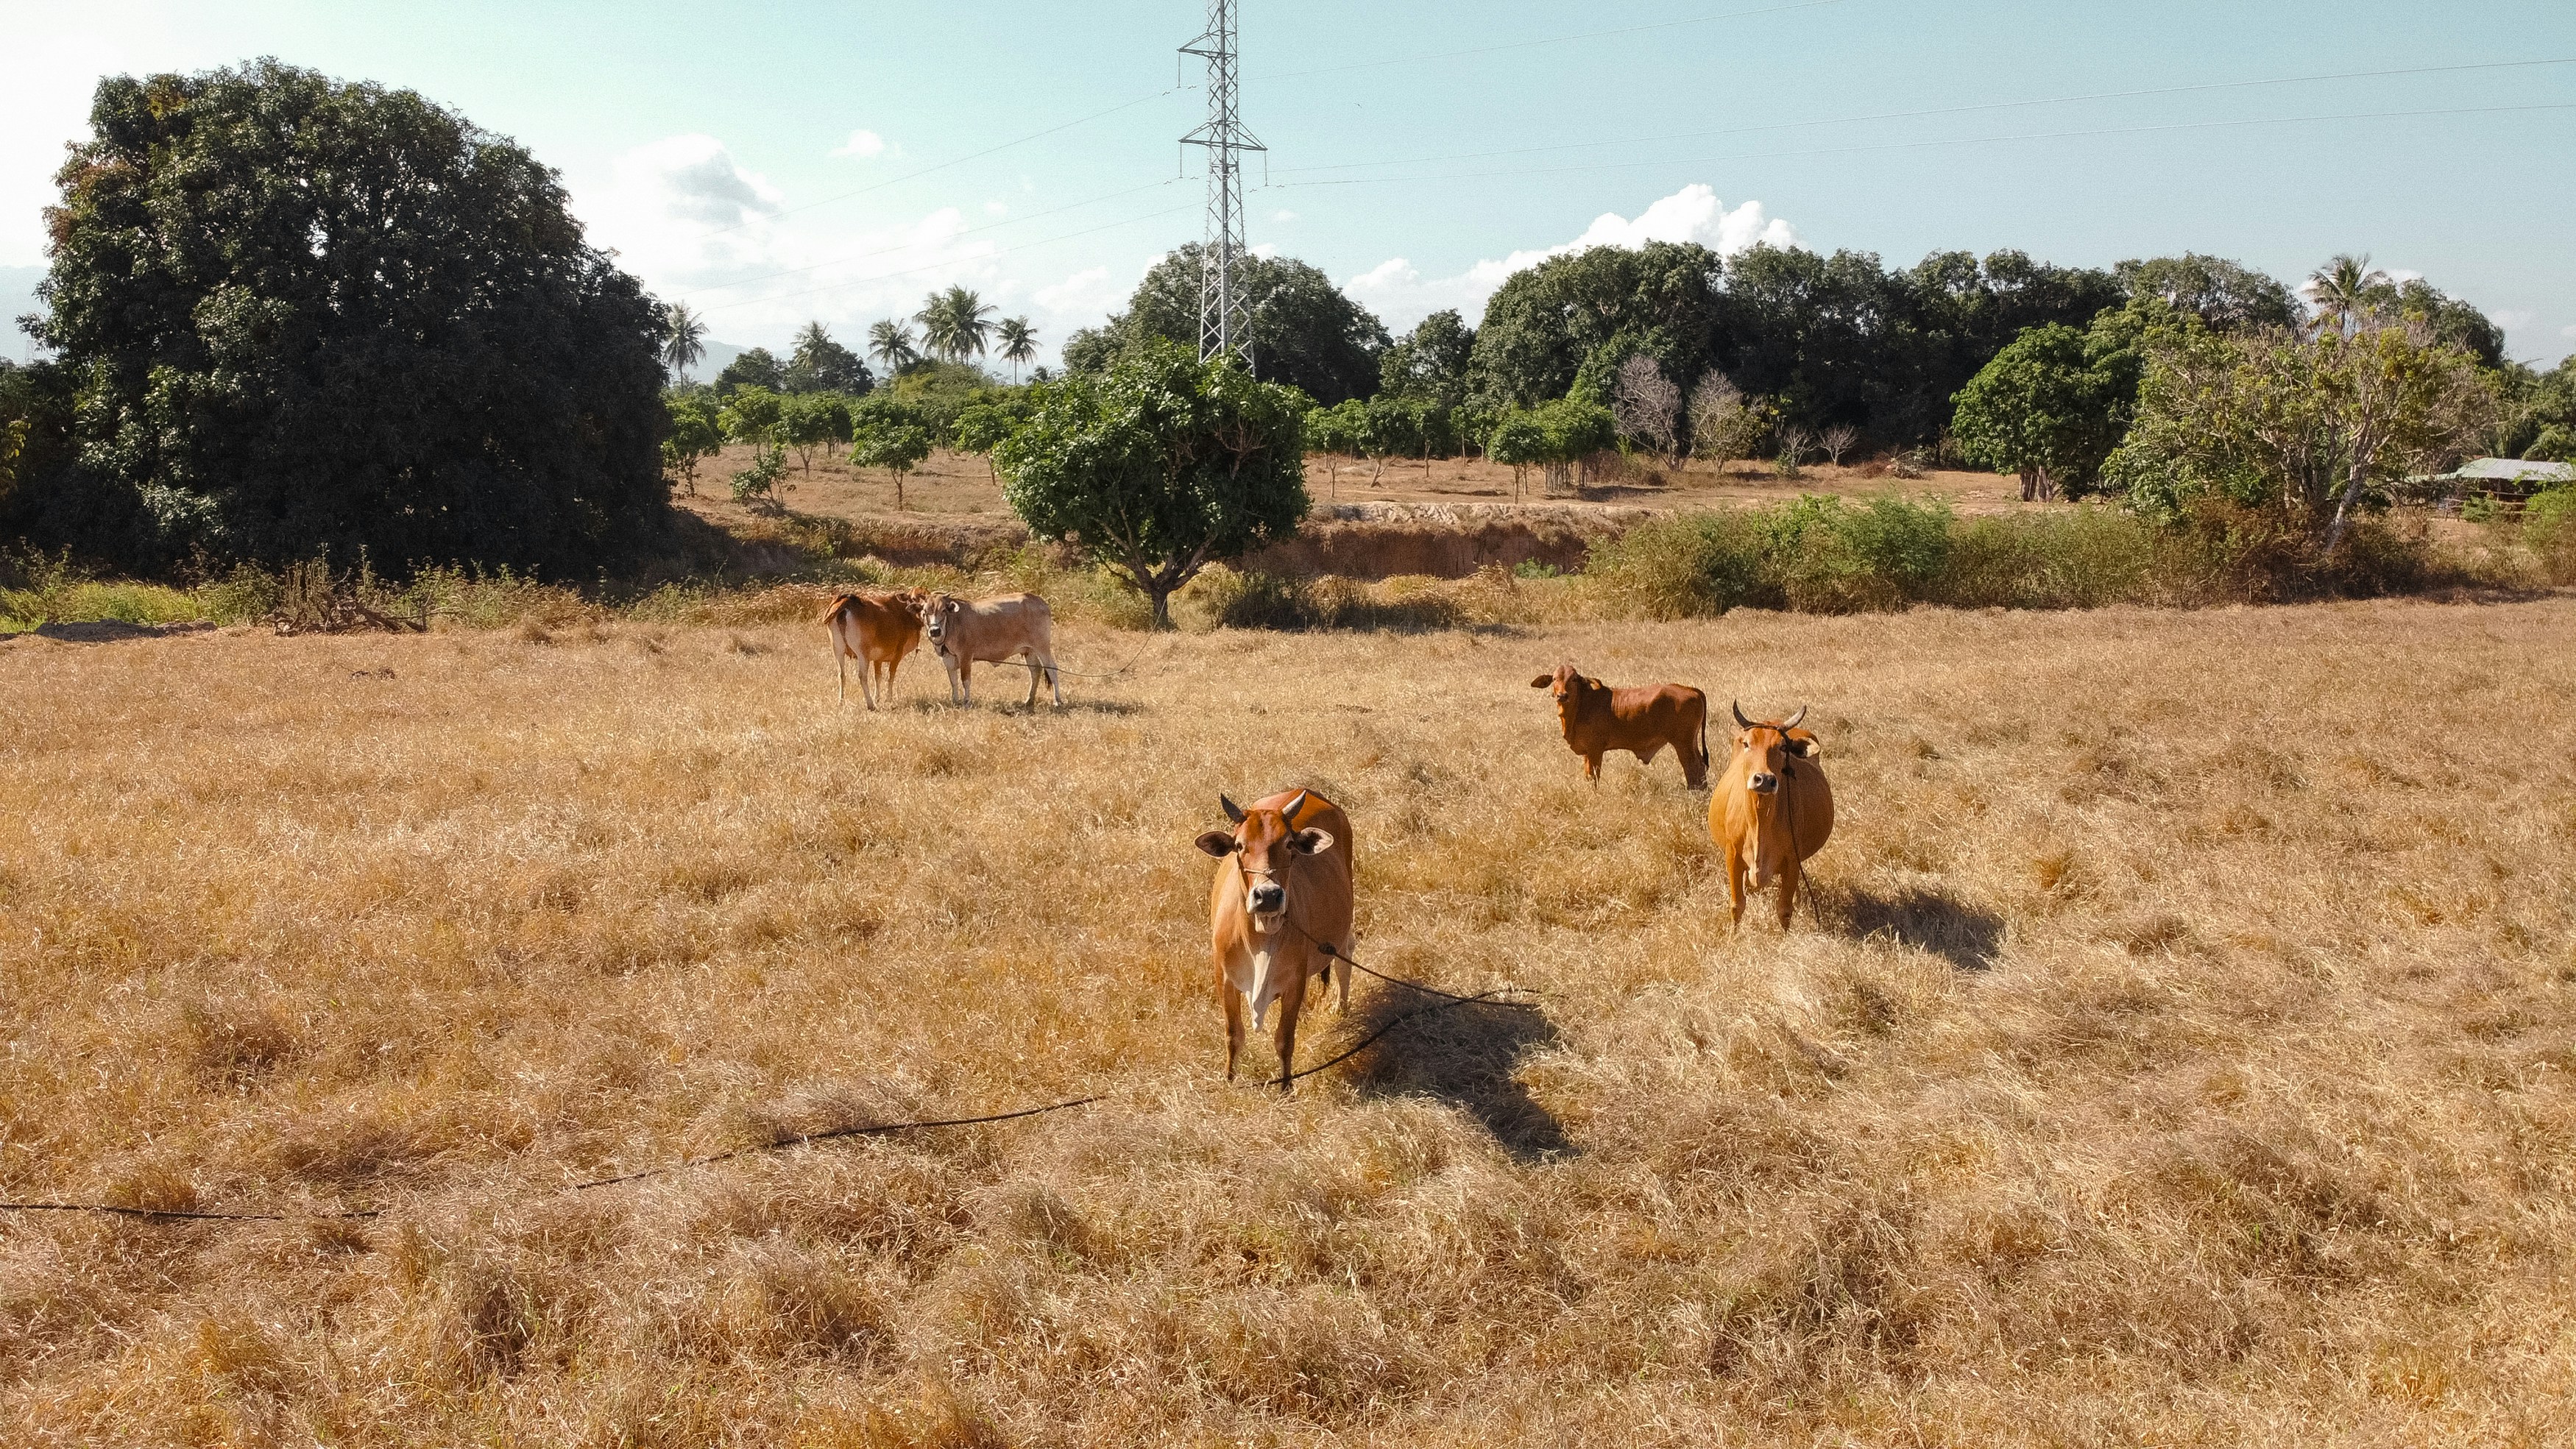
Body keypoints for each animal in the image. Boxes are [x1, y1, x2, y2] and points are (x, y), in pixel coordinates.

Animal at [820, 588, 927, 709]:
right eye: (914, 599)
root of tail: (847, 604)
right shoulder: (897, 655)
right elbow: (891, 676)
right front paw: (888, 699)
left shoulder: (878, 659)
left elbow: (878, 677)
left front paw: (878, 698)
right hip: (862, 653)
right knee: (862, 676)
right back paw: (870, 704)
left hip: (837, 650)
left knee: (841, 675)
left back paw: (841, 702)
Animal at [919, 592, 1063, 708]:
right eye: (925, 612)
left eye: (943, 610)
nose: (935, 631)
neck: (953, 623)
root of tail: (1039, 601)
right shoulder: (948, 659)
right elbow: (953, 682)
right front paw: (955, 701)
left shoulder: (966, 656)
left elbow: (966, 681)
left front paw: (966, 702)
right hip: (1029, 651)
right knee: (1035, 671)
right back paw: (1029, 700)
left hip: (1042, 647)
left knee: (1052, 668)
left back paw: (1057, 701)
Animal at [1194, 788, 1355, 1092]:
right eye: (1239, 846)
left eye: (1289, 844)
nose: (1267, 895)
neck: (1261, 938)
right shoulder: (1224, 979)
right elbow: (1233, 1034)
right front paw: (1230, 1080)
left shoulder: (1294, 983)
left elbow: (1284, 1039)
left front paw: (1286, 1087)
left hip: (1344, 926)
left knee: (1345, 959)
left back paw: (1340, 1007)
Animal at [1529, 662, 1711, 789]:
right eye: (1554, 679)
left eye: (1573, 679)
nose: (1562, 695)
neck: (1581, 705)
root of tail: (1689, 689)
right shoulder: (1587, 752)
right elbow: (1588, 775)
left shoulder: (1596, 750)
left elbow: (1594, 776)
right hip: (1691, 743)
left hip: (1683, 744)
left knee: (1693, 767)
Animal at [1708, 702, 1835, 929]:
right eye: (1747, 744)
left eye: (1783, 747)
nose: (1764, 780)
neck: (1759, 819)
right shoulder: (1732, 856)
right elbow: (1737, 906)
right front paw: (1733, 934)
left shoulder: (1793, 860)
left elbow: (1784, 909)